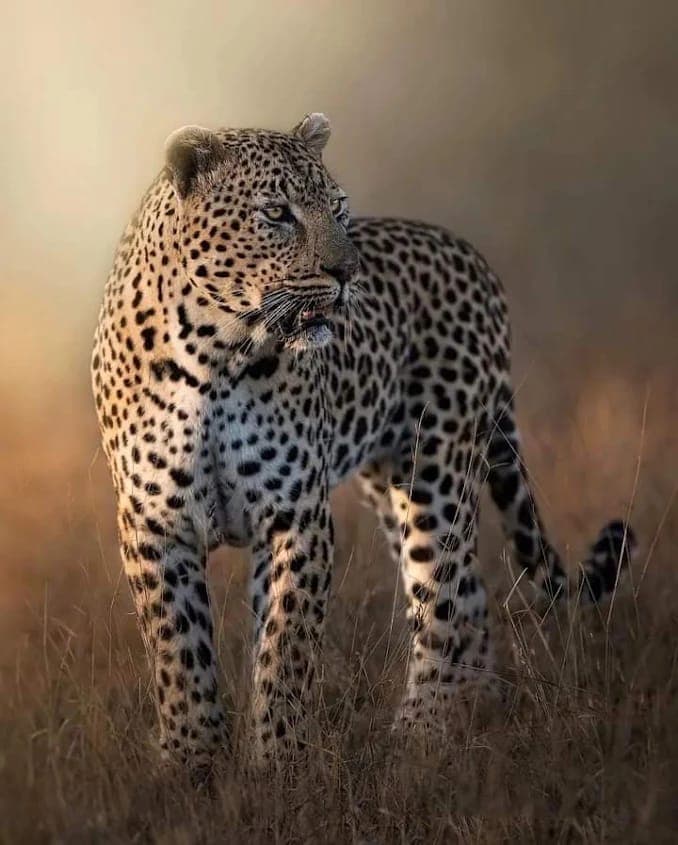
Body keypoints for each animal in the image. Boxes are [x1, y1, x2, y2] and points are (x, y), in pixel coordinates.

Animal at [91, 113, 635, 774]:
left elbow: (286, 648)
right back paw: (475, 712)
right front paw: (191, 762)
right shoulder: (154, 524)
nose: (347, 274)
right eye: (277, 213)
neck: (214, 353)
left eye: (339, 209)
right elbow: (178, 649)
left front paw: (279, 764)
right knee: (470, 599)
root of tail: (469, 253)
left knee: (445, 603)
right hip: (390, 482)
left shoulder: (296, 515)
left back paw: (420, 736)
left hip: (437, 470)